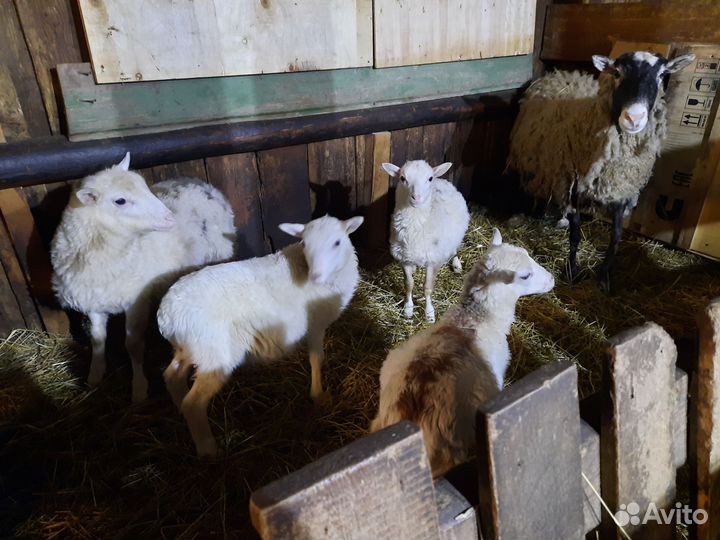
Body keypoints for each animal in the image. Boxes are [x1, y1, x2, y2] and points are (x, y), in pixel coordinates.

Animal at [51, 152, 235, 402]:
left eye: (145, 187)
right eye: (120, 201)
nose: (170, 218)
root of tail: (202, 183)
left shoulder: (135, 301)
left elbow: (133, 343)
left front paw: (139, 389)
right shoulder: (93, 301)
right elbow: (98, 340)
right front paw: (94, 376)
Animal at [157, 214, 364, 457]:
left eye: (337, 242)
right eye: (305, 243)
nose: (315, 277)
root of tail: (167, 316)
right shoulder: (315, 325)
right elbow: (316, 358)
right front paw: (319, 396)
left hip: (191, 348)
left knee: (172, 376)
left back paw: (179, 409)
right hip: (215, 353)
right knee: (194, 403)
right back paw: (209, 449)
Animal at [382, 160, 470, 322]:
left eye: (429, 178)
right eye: (402, 178)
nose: (416, 198)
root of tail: (442, 180)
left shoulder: (433, 260)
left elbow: (427, 288)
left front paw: (429, 314)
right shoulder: (404, 258)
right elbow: (409, 284)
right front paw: (408, 309)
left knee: (454, 249)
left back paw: (456, 264)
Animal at [507, 51, 695, 291]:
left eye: (662, 75)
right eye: (617, 73)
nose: (634, 118)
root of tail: (563, 72)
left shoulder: (622, 189)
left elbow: (616, 236)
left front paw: (605, 275)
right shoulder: (574, 185)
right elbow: (576, 234)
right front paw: (572, 269)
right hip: (541, 166)